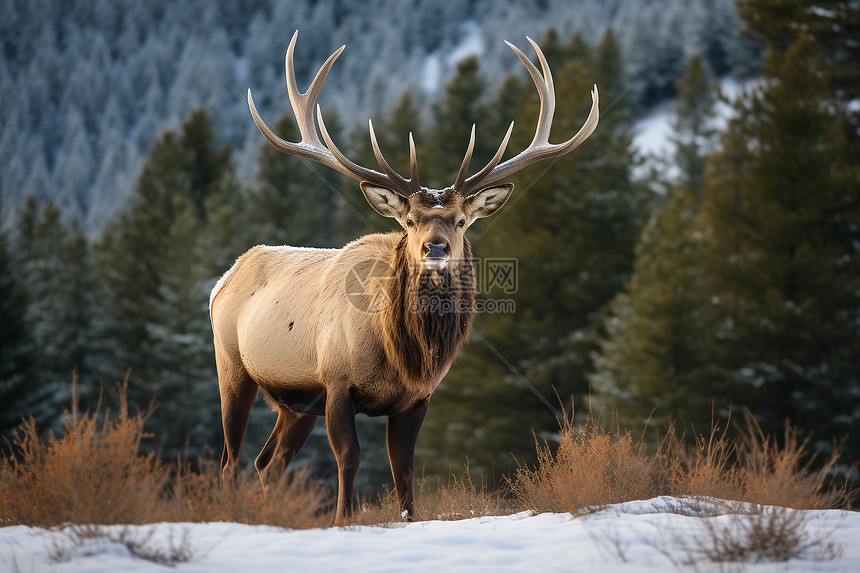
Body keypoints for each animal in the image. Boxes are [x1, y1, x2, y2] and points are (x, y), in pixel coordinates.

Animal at [210, 30, 596, 524]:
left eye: (460, 220)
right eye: (410, 220)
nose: (436, 248)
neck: (402, 356)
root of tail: (225, 278)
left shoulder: (416, 399)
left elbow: (405, 472)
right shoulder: (336, 381)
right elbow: (350, 457)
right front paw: (343, 520)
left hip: (295, 401)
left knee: (267, 463)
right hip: (233, 366)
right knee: (230, 460)